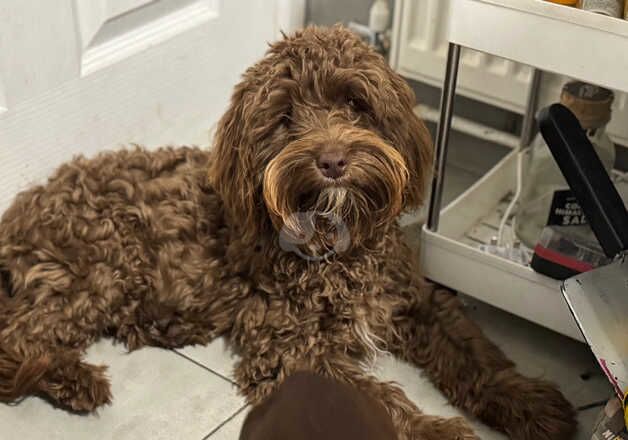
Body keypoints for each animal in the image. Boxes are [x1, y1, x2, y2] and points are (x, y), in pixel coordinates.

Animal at [0, 27, 576, 440]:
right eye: (284, 118)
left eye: (355, 103)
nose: (333, 160)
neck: (337, 243)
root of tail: (23, 205)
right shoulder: (296, 350)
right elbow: (382, 404)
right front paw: (439, 432)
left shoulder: (419, 301)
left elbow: (476, 353)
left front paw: (528, 401)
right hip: (101, 267)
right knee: (18, 336)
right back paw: (73, 379)